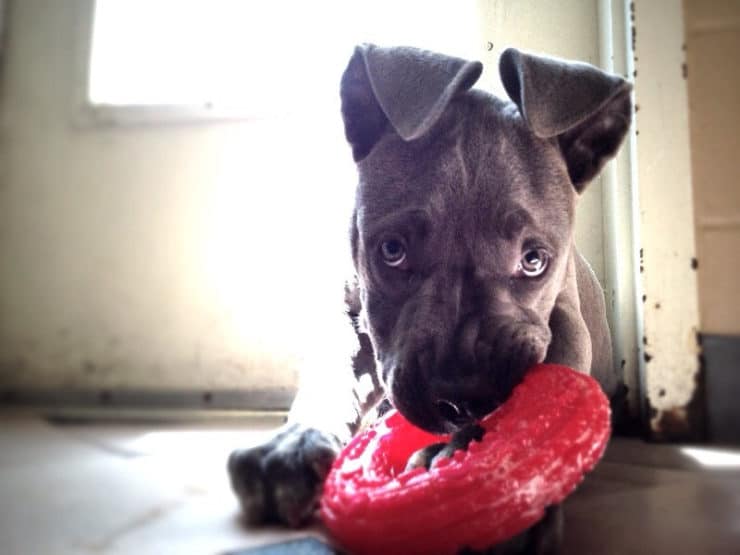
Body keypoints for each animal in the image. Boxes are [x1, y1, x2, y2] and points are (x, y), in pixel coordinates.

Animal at [228, 43, 632, 552]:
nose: (461, 402)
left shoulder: (565, 324)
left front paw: (487, 482)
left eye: (534, 260)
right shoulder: (351, 319)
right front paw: (292, 442)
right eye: (392, 250)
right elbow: (331, 375)